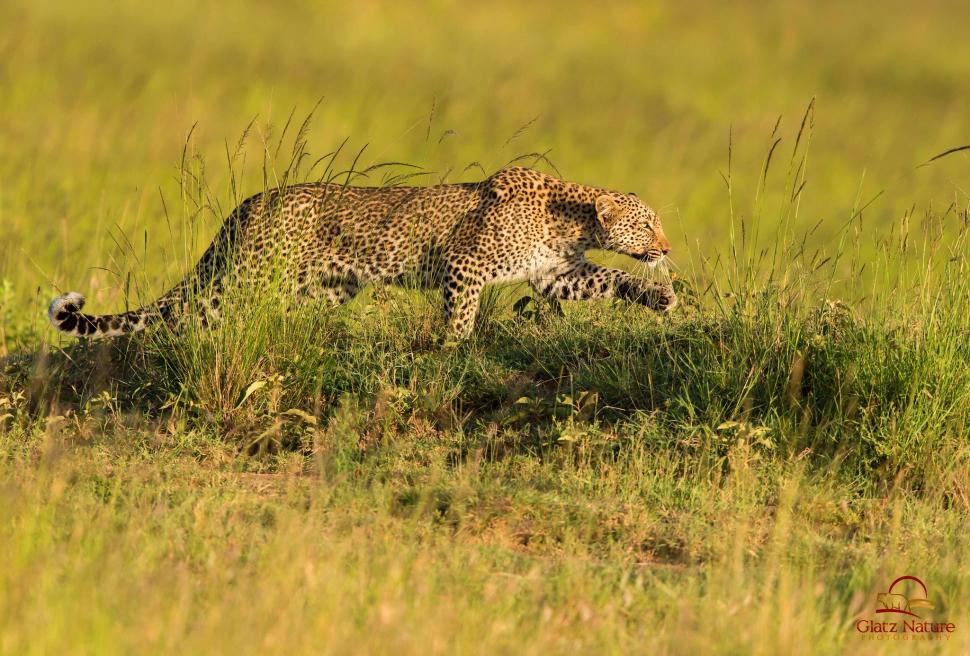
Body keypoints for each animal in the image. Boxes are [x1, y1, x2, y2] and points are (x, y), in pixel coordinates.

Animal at [48, 166, 676, 340]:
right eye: (648, 224)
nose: (667, 246)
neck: (572, 223)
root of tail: (249, 203)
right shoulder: (465, 265)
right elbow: (461, 315)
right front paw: (454, 348)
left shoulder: (554, 275)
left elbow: (609, 281)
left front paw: (659, 296)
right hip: (249, 277)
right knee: (200, 316)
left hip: (324, 288)